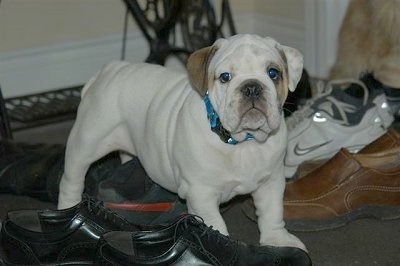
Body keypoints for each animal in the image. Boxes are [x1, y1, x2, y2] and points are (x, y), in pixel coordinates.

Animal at [57, 34, 304, 250]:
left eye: (273, 73)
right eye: (225, 77)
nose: (252, 86)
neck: (243, 142)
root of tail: (112, 69)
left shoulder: (271, 182)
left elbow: (272, 212)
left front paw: (277, 239)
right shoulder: (201, 193)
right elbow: (216, 224)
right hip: (87, 141)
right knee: (71, 179)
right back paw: (67, 208)